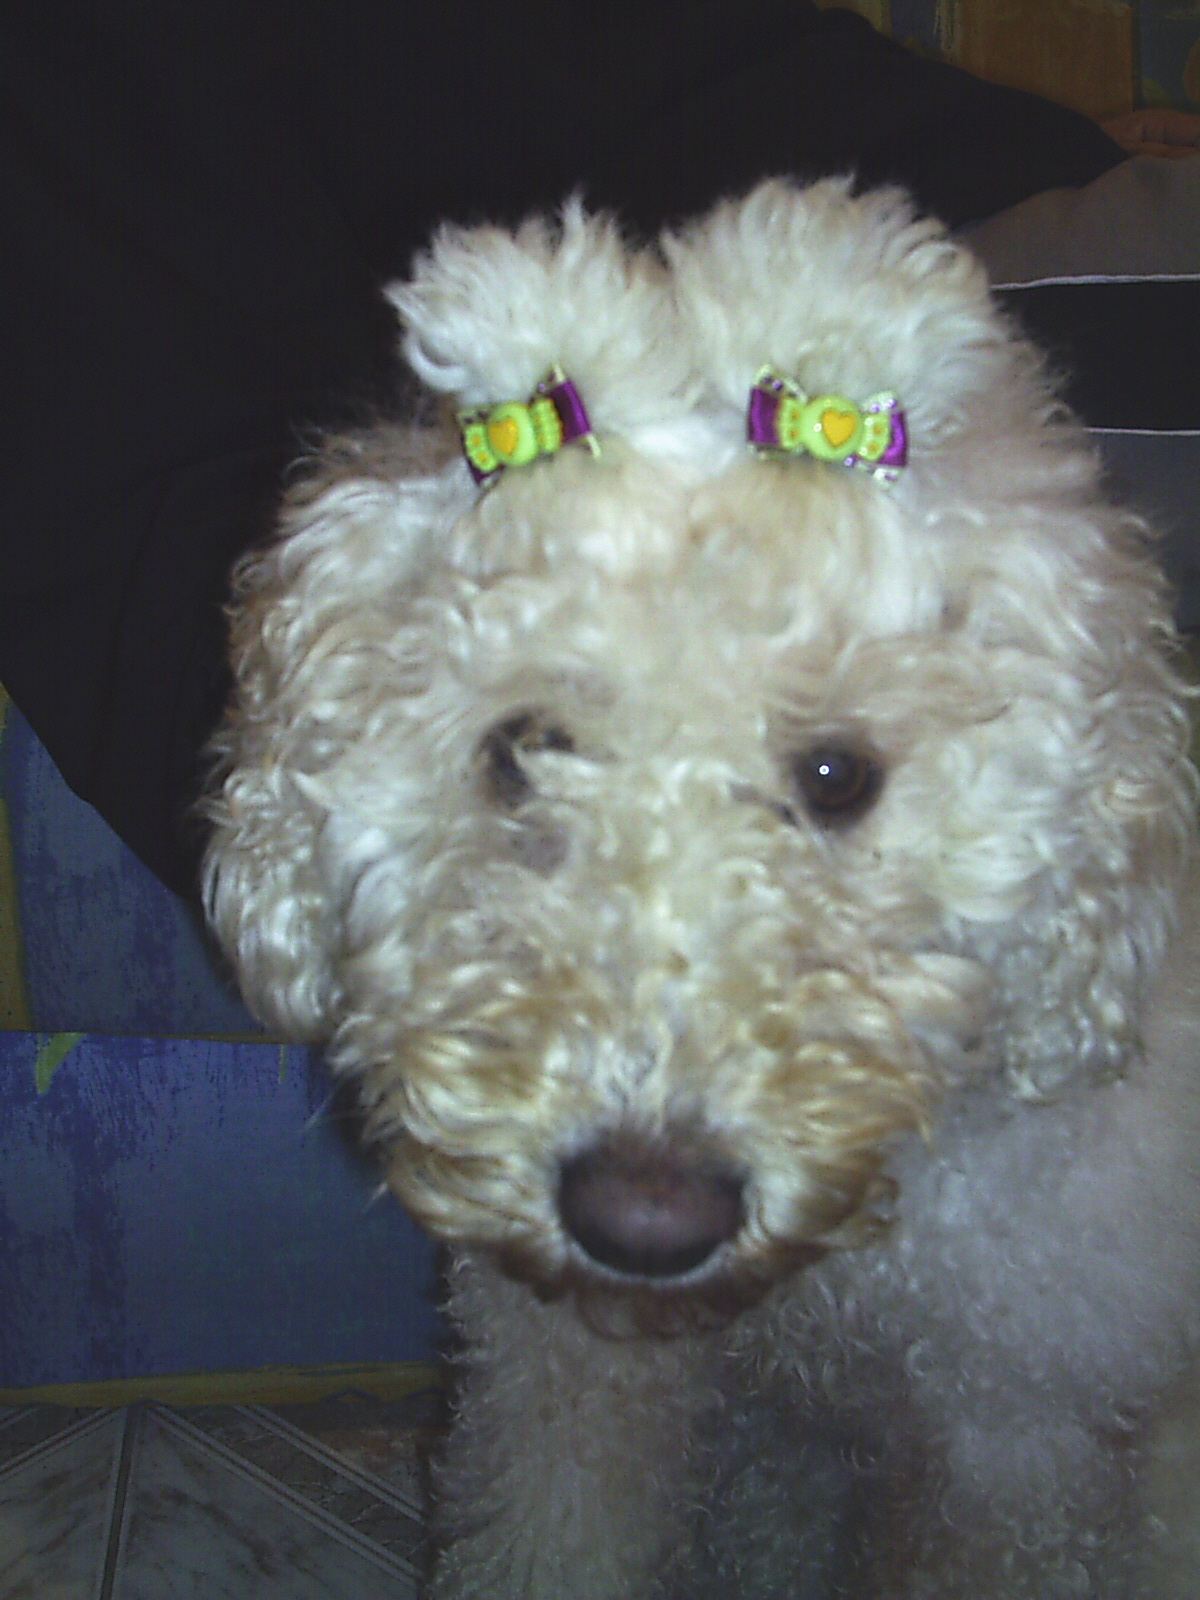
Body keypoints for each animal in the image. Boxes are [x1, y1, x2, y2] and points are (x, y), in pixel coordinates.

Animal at [204, 181, 1200, 1593]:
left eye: (838, 774)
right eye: (525, 747)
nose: (645, 1217)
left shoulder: (1014, 1444)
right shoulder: (568, 1381)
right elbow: (559, 1528)